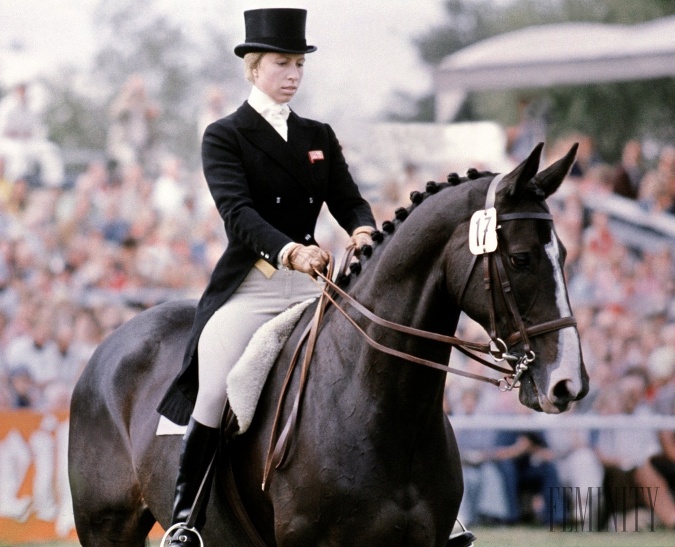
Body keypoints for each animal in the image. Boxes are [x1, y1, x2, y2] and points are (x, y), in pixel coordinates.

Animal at [68, 143, 588, 544]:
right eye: (520, 258)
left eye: (564, 253)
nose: (569, 384)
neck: (380, 405)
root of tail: (109, 346)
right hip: (105, 526)